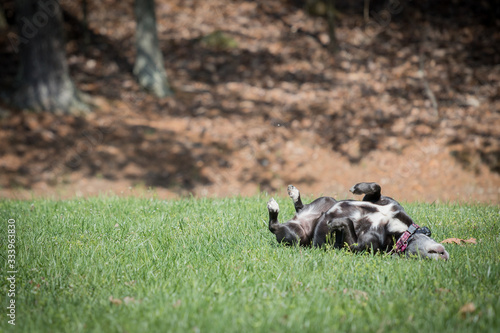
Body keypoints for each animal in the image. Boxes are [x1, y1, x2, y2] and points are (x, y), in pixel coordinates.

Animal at [268, 183, 448, 258]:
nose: (444, 255)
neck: (401, 231)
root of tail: (298, 221)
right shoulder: (377, 199)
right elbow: (375, 187)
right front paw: (357, 187)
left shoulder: (358, 246)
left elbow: (347, 223)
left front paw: (336, 223)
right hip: (327, 199)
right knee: (300, 207)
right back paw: (293, 194)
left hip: (296, 236)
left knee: (273, 226)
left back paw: (273, 208)